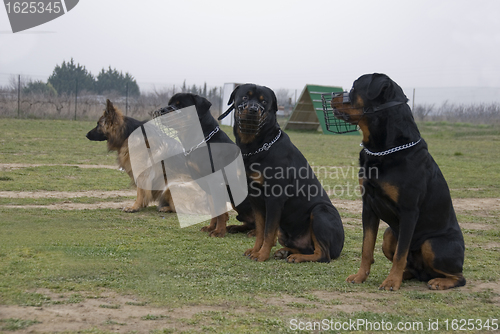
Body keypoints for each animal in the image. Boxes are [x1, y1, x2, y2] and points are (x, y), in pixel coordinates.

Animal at [221, 83, 346, 260]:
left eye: (264, 101)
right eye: (245, 97)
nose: (253, 109)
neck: (257, 146)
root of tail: (340, 246)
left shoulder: (275, 198)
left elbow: (268, 231)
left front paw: (262, 255)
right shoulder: (255, 198)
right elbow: (260, 229)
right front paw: (255, 250)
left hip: (320, 211)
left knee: (323, 254)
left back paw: (297, 257)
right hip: (285, 234)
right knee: (307, 247)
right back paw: (284, 252)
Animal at [334, 73, 466, 290]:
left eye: (354, 87)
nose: (333, 96)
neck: (383, 149)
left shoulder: (409, 210)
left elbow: (400, 254)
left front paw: (391, 282)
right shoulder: (368, 206)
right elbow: (366, 248)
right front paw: (360, 276)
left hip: (432, 244)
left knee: (459, 276)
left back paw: (438, 281)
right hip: (389, 234)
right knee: (411, 266)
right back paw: (406, 275)